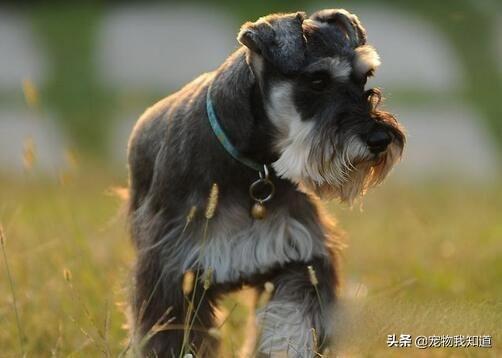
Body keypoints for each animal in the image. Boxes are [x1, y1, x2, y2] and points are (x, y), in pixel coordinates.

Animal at [125, 9, 404, 358]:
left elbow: (295, 323)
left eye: (364, 78)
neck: (251, 167)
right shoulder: (173, 272)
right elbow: (174, 336)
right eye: (317, 80)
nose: (380, 139)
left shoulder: (302, 258)